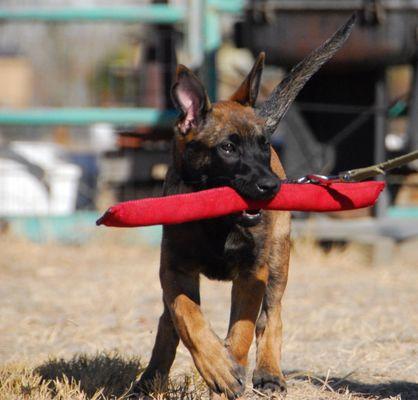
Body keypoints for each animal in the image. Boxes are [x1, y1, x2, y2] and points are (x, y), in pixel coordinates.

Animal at [135, 14, 356, 398]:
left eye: (263, 144)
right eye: (227, 148)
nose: (271, 187)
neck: (218, 222)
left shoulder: (254, 273)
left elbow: (242, 329)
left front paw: (229, 368)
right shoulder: (174, 270)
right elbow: (187, 317)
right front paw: (214, 364)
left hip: (279, 260)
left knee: (272, 317)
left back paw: (268, 373)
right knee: (167, 321)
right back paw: (151, 377)